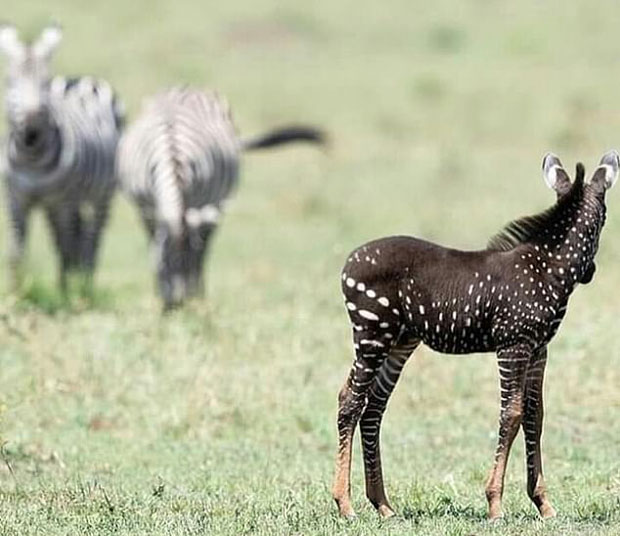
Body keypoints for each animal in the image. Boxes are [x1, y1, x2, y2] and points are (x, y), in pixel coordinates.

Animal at [0, 24, 123, 294]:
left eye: (44, 84)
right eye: (10, 82)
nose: (32, 129)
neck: (31, 159)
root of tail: (80, 79)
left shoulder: (62, 201)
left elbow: (64, 247)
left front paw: (64, 294)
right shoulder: (16, 199)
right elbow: (16, 252)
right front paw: (16, 293)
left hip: (102, 193)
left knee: (92, 237)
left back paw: (85, 283)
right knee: (78, 233)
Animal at [118, 86, 326, 308]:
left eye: (188, 265)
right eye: (165, 264)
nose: (178, 305)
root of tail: (187, 88)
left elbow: (200, 252)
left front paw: (196, 294)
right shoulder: (145, 208)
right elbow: (152, 245)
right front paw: (160, 292)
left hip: (216, 202)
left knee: (207, 245)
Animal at [332, 151, 616, 520]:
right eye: (603, 221)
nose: (591, 274)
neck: (546, 269)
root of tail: (349, 261)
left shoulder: (539, 349)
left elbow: (535, 415)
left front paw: (543, 503)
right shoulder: (513, 345)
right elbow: (512, 414)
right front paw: (495, 504)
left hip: (399, 342)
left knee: (373, 407)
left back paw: (382, 505)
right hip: (371, 334)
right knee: (350, 401)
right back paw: (345, 504)